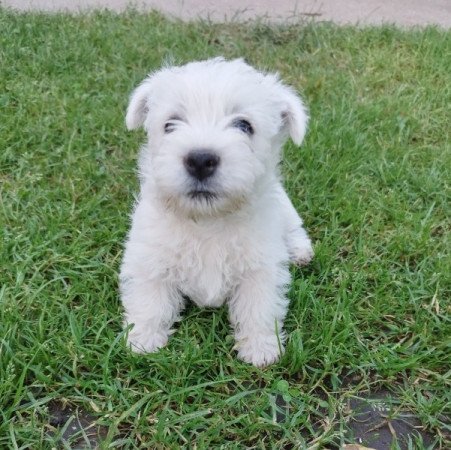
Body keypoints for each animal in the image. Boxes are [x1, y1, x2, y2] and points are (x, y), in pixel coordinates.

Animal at [121, 57, 314, 366]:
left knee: (294, 228)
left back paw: (300, 252)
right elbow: (149, 298)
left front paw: (261, 348)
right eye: (170, 124)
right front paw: (142, 339)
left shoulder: (261, 265)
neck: (207, 220)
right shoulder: (148, 257)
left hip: (285, 209)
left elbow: (258, 305)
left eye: (244, 125)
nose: (200, 160)